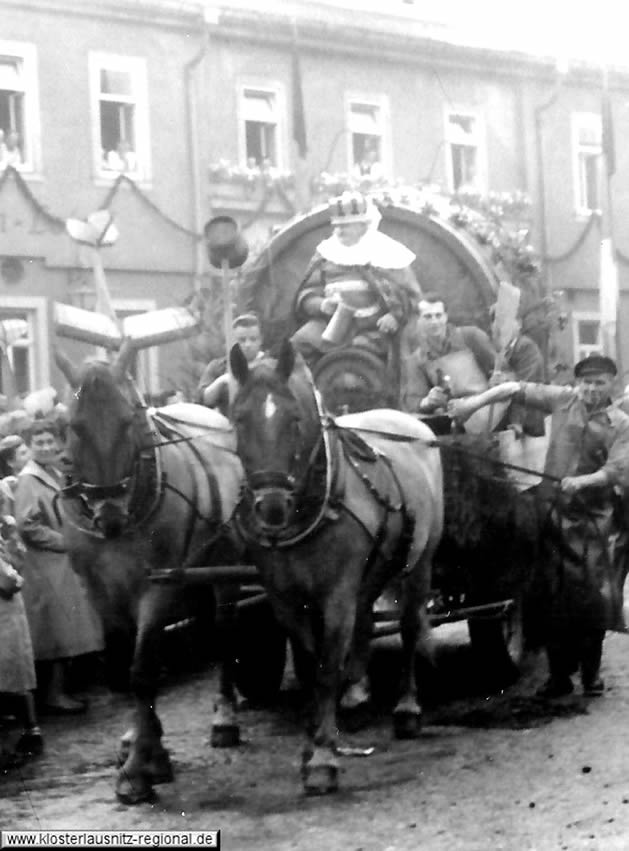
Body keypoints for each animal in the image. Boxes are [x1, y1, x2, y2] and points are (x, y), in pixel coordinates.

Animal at [54, 342, 243, 804]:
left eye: (127, 422)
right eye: (73, 427)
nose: (109, 517)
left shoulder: (157, 585)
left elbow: (142, 669)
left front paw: (140, 766)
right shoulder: (99, 591)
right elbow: (125, 665)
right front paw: (144, 744)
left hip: (223, 566)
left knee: (224, 631)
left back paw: (225, 718)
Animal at [229, 338, 442, 792]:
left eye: (294, 419)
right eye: (239, 419)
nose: (271, 507)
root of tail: (412, 422)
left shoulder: (335, 594)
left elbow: (327, 668)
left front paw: (324, 758)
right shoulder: (285, 599)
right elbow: (313, 667)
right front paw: (313, 741)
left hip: (420, 563)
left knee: (410, 626)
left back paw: (407, 709)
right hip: (374, 569)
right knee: (365, 622)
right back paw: (358, 693)